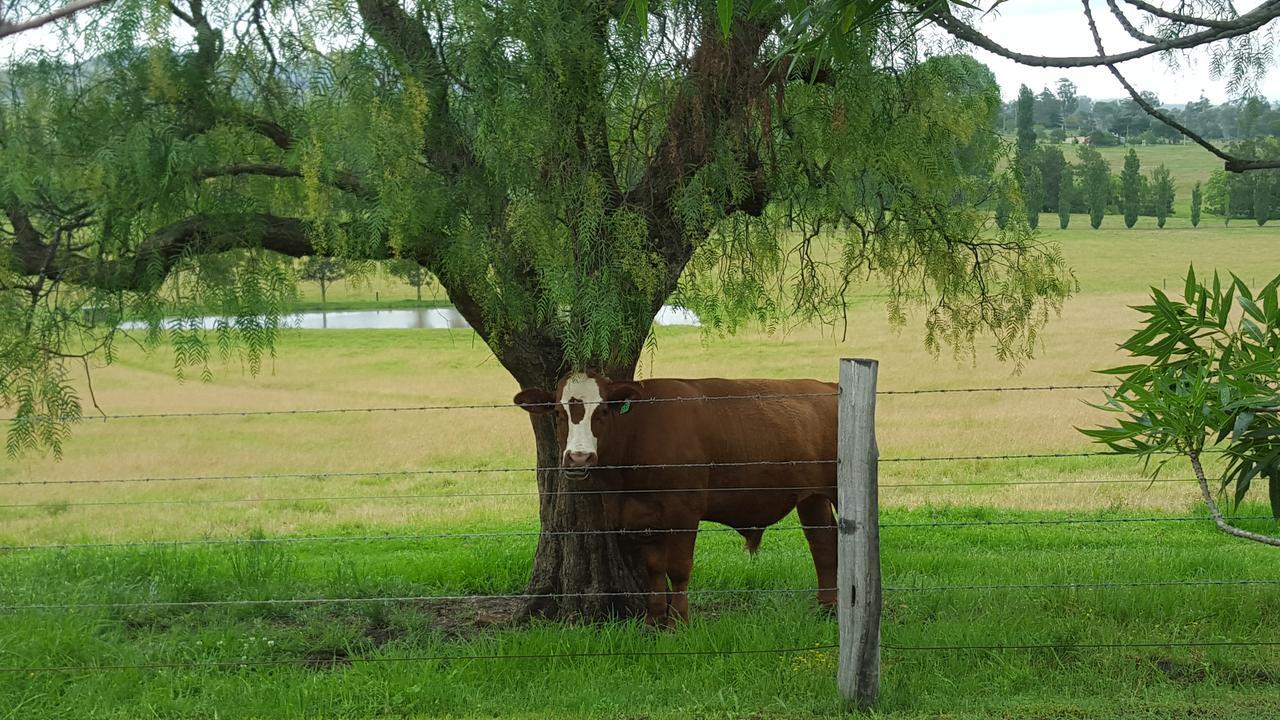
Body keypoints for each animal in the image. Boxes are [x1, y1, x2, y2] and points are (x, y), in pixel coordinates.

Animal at [512, 368, 839, 622]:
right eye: (558, 412)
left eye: (602, 411)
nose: (579, 458)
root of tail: (827, 386)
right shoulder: (640, 516)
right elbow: (654, 570)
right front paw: (654, 621)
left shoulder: (684, 511)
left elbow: (678, 569)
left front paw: (679, 621)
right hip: (812, 497)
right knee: (823, 542)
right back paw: (828, 607)